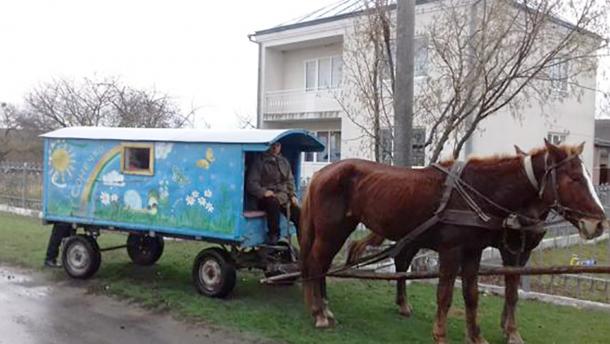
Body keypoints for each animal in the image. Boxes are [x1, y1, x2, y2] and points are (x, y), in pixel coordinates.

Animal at [300, 140, 604, 344]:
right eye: (575, 178)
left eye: (587, 176)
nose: (599, 223)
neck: (479, 191)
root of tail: (321, 173)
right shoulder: (453, 251)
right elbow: (445, 295)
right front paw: (441, 334)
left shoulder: (474, 252)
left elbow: (472, 295)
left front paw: (477, 336)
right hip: (331, 231)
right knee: (316, 264)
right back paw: (319, 313)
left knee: (325, 265)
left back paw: (325, 307)